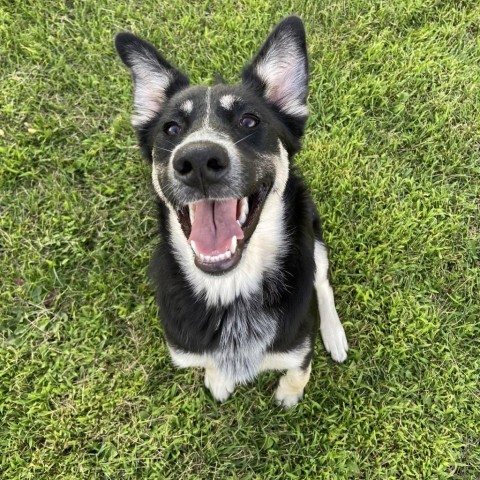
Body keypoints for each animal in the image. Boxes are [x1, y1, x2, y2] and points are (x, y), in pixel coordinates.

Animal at [116, 15, 348, 404]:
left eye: (249, 121)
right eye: (171, 128)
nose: (197, 161)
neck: (231, 289)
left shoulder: (300, 346)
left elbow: (299, 370)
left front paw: (288, 395)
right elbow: (210, 363)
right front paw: (219, 380)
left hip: (312, 233)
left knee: (322, 281)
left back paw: (335, 334)